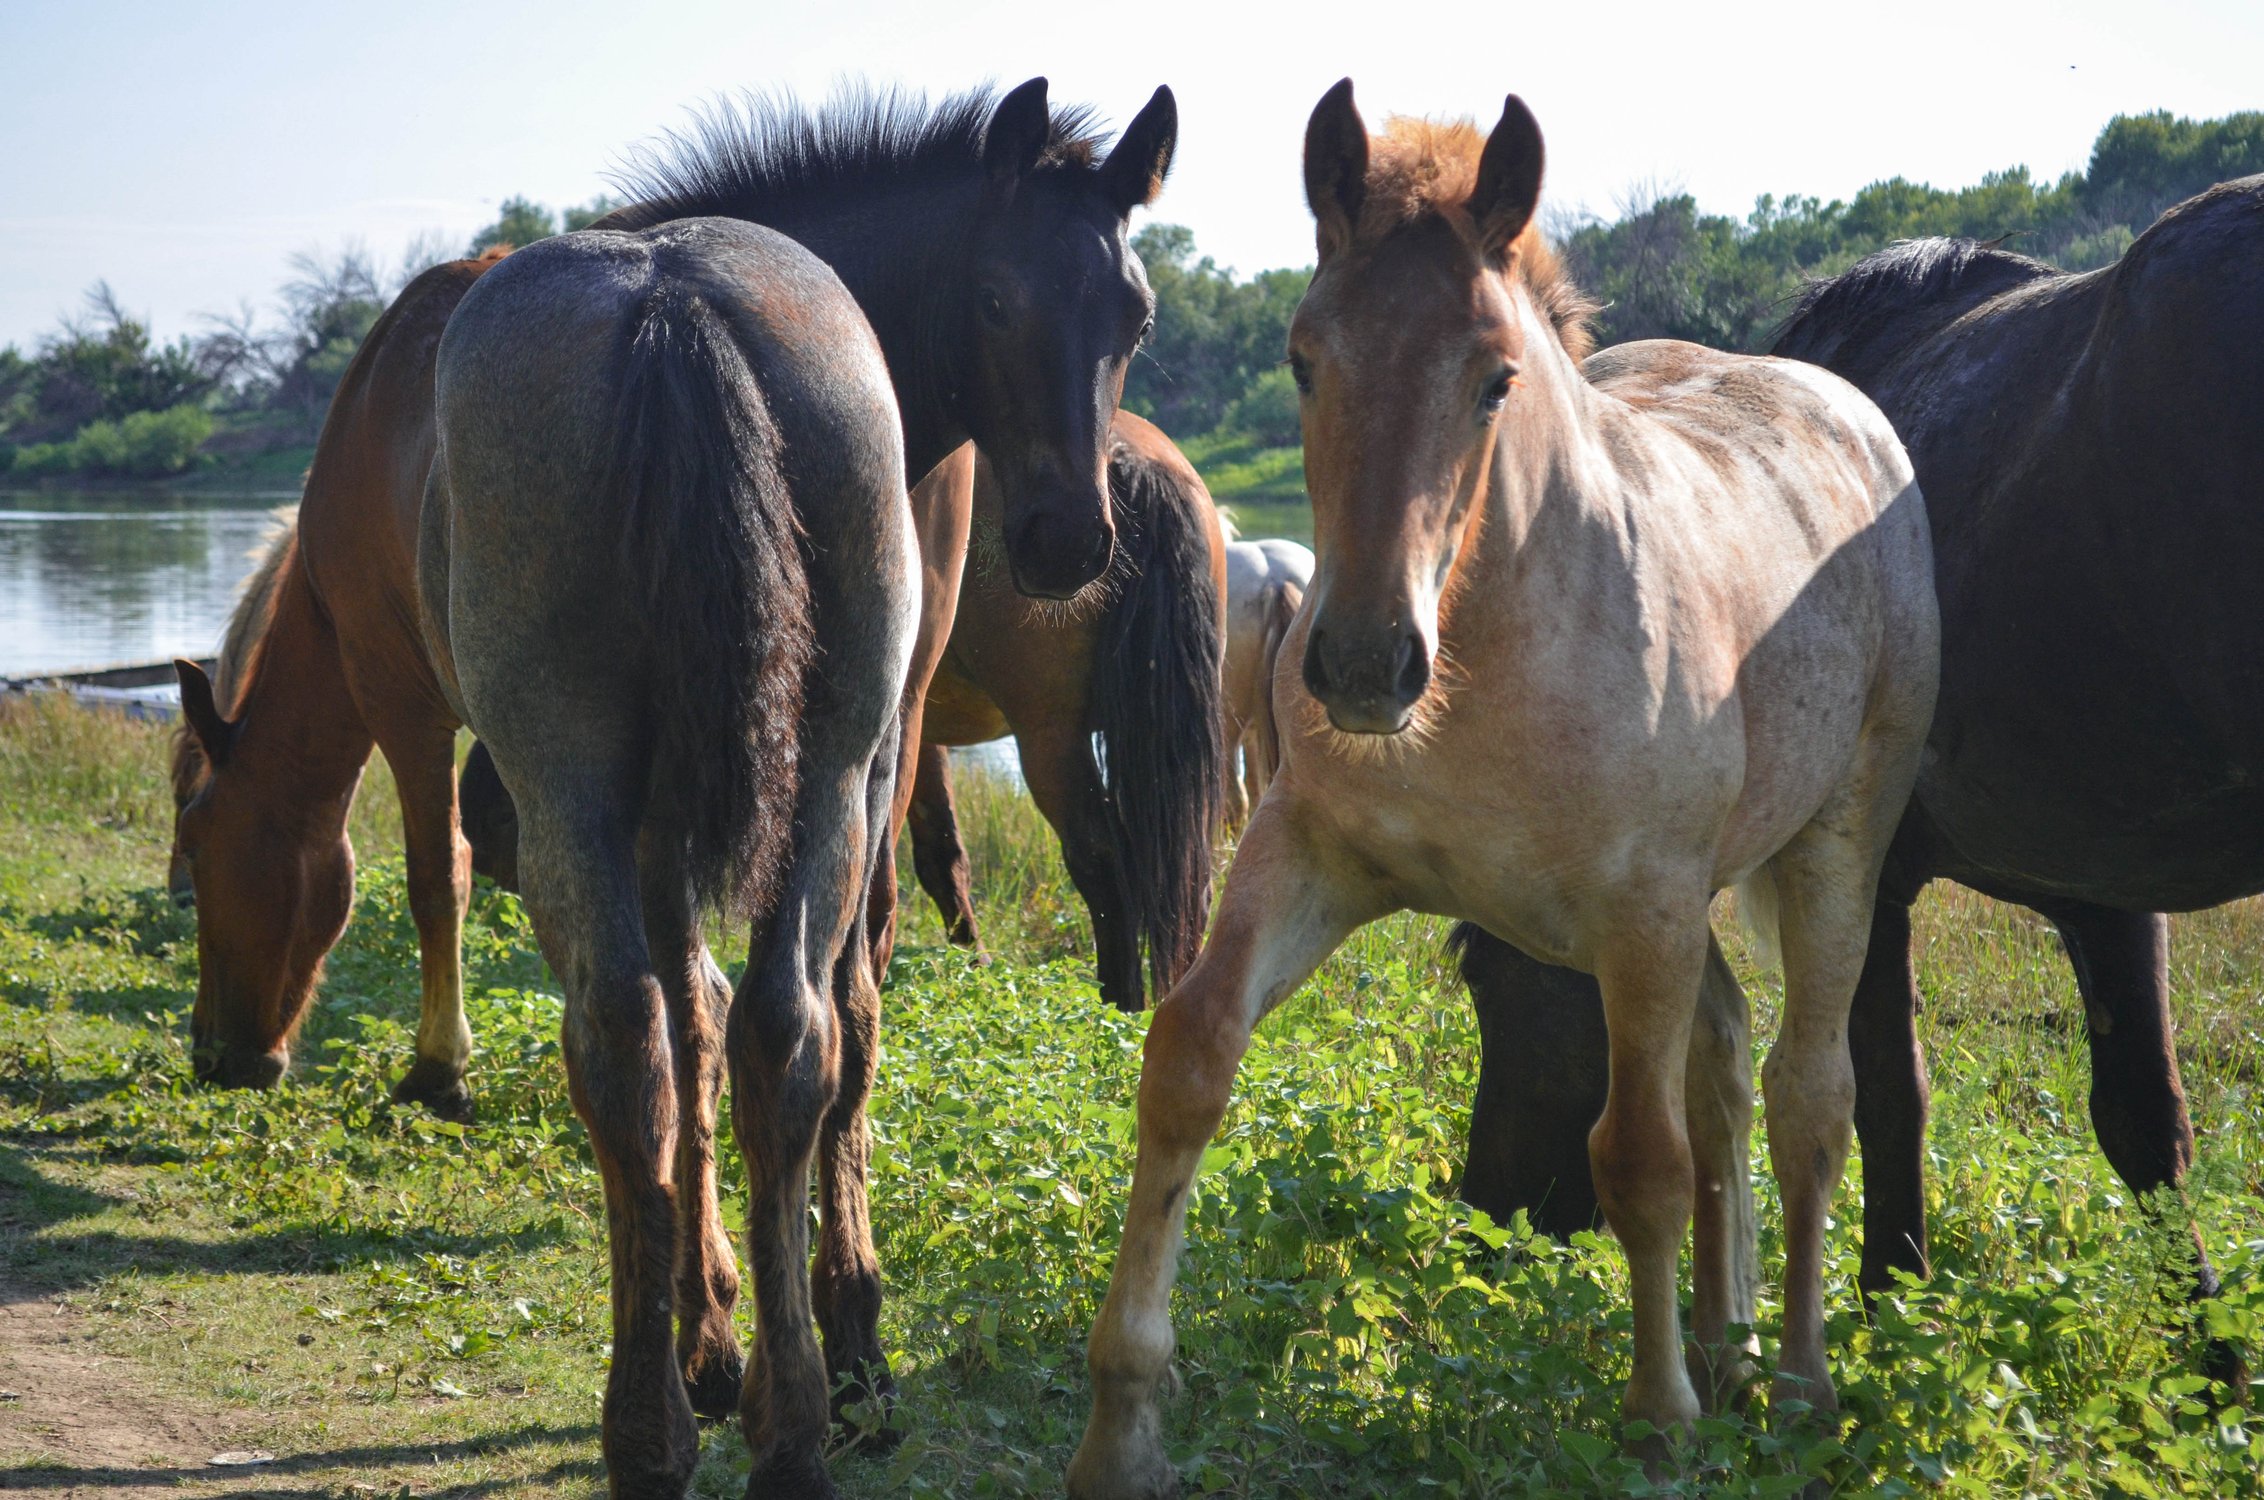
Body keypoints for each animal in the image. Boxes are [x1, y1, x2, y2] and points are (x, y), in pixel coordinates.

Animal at [172, 82, 1186, 1500]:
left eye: (1131, 317)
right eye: (994, 298)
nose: (1065, 540)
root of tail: (674, 304)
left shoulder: (437, 719)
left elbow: (534, 934)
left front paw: (730, 1326)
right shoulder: (850, 768)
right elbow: (782, 1023)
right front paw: (795, 1342)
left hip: (592, 786)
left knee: (631, 1038)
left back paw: (658, 1422)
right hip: (806, 776)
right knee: (771, 1034)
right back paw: (781, 1426)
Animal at [901, 411, 1231, 1009]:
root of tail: (1125, 455)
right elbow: (942, 853)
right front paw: (974, 970)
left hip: (1049, 741)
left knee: (1102, 864)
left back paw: (1120, 1006)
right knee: (1189, 878)